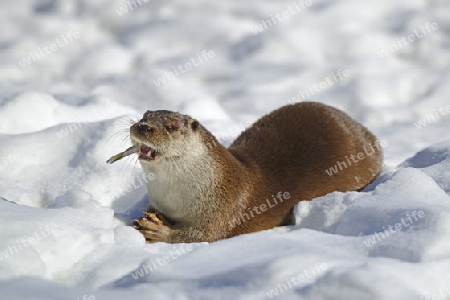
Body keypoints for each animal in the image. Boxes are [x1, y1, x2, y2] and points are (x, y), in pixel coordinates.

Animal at [108, 102, 384, 243]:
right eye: (145, 115)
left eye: (170, 127)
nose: (143, 126)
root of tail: (366, 132)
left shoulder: (226, 207)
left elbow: (203, 234)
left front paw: (157, 230)